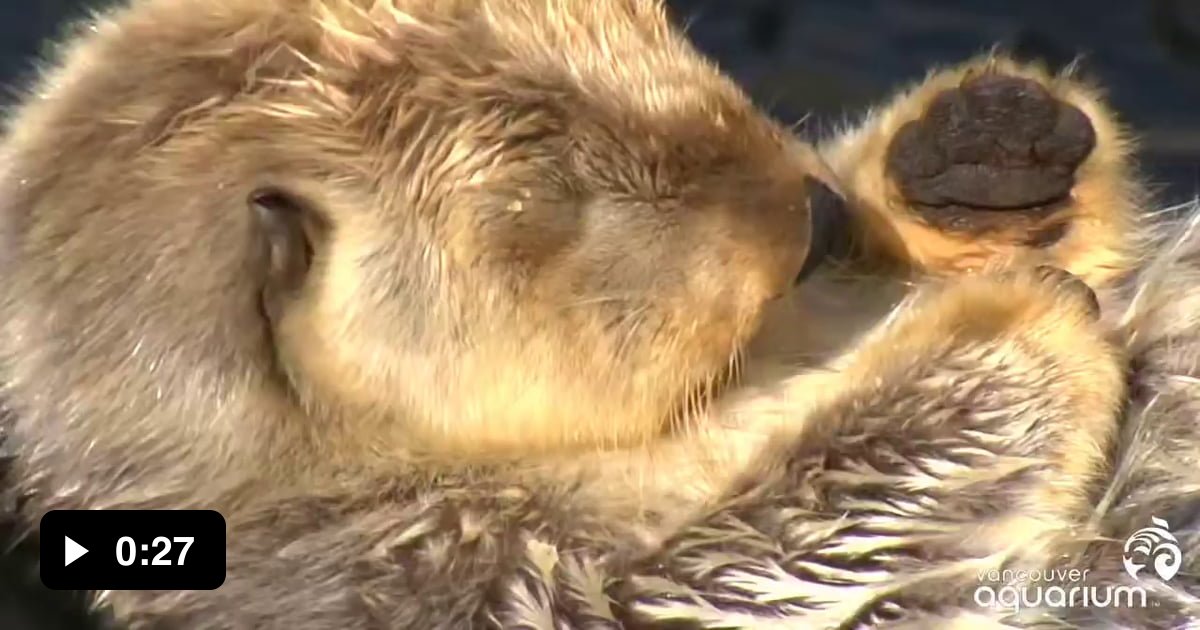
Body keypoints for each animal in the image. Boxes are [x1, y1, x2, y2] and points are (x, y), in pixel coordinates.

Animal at [0, 0, 1195, 624]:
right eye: (559, 196)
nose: (812, 211)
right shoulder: (451, 573)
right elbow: (736, 567)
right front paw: (1014, 319)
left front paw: (978, 154)